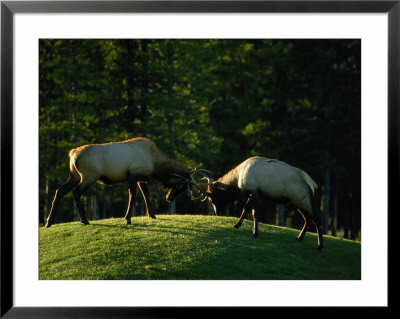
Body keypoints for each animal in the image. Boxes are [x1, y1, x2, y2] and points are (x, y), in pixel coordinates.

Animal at [45, 137, 211, 228]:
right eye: (181, 185)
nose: (169, 198)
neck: (154, 165)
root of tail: (72, 154)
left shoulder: (141, 178)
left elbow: (146, 196)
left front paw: (152, 215)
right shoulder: (133, 173)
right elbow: (133, 196)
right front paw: (128, 219)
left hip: (74, 175)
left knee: (59, 191)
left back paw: (49, 222)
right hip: (89, 176)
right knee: (75, 193)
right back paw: (84, 220)